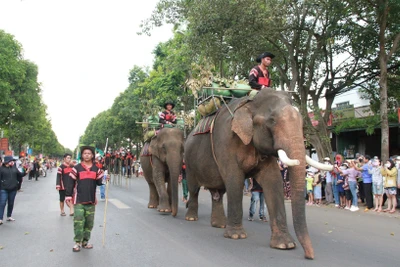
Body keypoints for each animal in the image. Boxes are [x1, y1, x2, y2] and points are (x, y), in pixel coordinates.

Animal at [184, 89, 332, 260]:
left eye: (302, 123)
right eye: (272, 121)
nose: (309, 256)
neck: (250, 103)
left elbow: (274, 181)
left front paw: (285, 245)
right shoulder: (225, 141)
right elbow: (234, 179)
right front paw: (236, 236)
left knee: (217, 193)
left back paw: (219, 225)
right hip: (190, 163)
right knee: (194, 189)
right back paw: (191, 218)